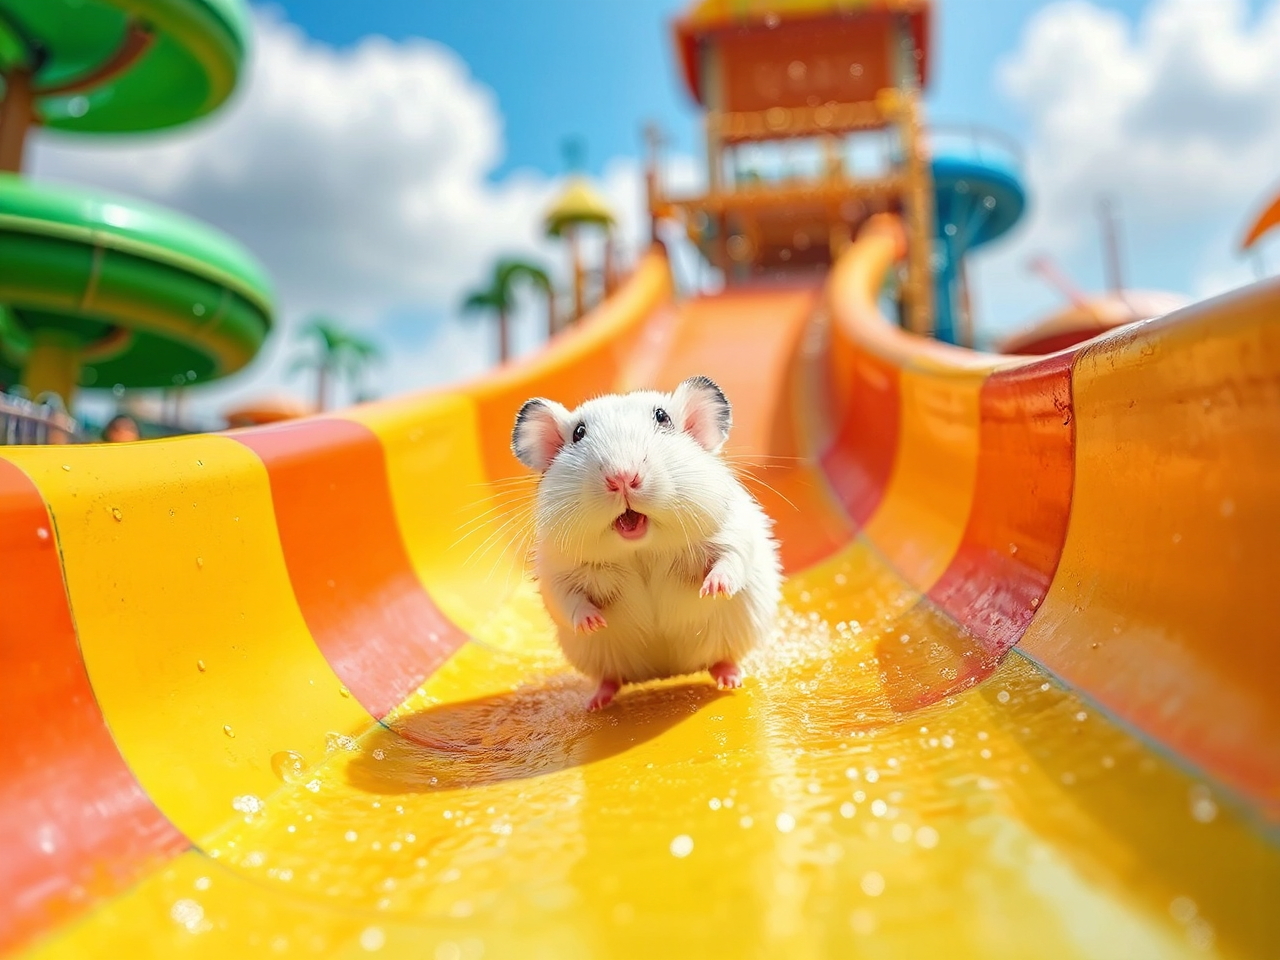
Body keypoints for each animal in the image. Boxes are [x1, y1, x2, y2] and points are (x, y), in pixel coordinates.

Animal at [511, 375, 782, 710]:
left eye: (662, 417)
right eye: (578, 433)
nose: (622, 477)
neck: (641, 549)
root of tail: (666, 673)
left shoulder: (732, 530)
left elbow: (730, 561)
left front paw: (712, 590)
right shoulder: (557, 570)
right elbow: (568, 599)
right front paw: (594, 623)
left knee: (720, 659)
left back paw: (731, 681)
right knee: (610, 678)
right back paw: (595, 703)